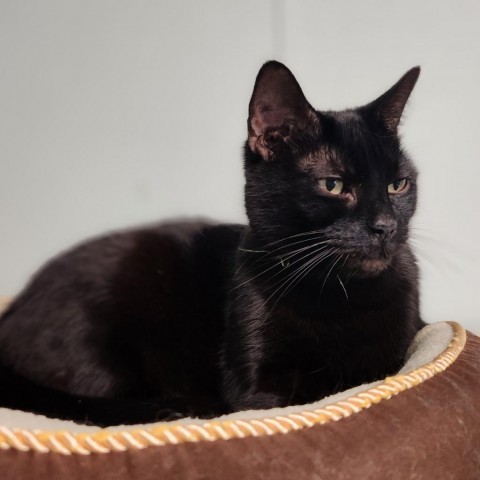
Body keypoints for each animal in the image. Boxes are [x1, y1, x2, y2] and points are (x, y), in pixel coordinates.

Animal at [0, 62, 424, 426]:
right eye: (333, 185)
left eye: (398, 184)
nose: (385, 226)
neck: (338, 294)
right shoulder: (255, 386)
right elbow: (304, 394)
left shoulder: (394, 358)